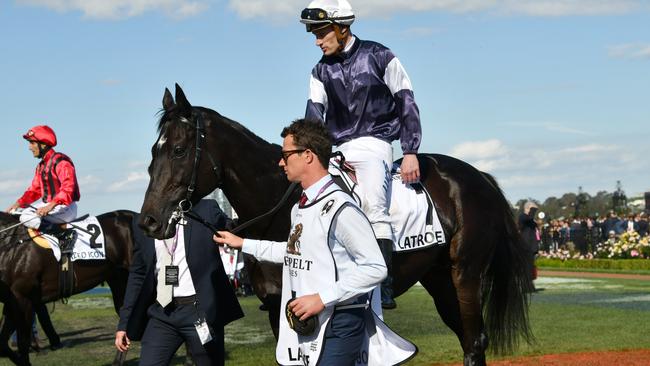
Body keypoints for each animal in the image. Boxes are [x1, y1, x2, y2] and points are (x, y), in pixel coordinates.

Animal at [0, 210, 134, 364]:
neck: (11, 246)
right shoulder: (12, 301)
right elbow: (2, 343)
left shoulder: (24, 298)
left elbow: (22, 342)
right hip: (119, 280)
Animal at [139, 84, 528, 364]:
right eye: (153, 151)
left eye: (178, 150)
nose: (149, 221)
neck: (280, 202)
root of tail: (478, 177)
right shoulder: (278, 309)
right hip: (439, 278)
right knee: (469, 340)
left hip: (466, 275)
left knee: (474, 341)